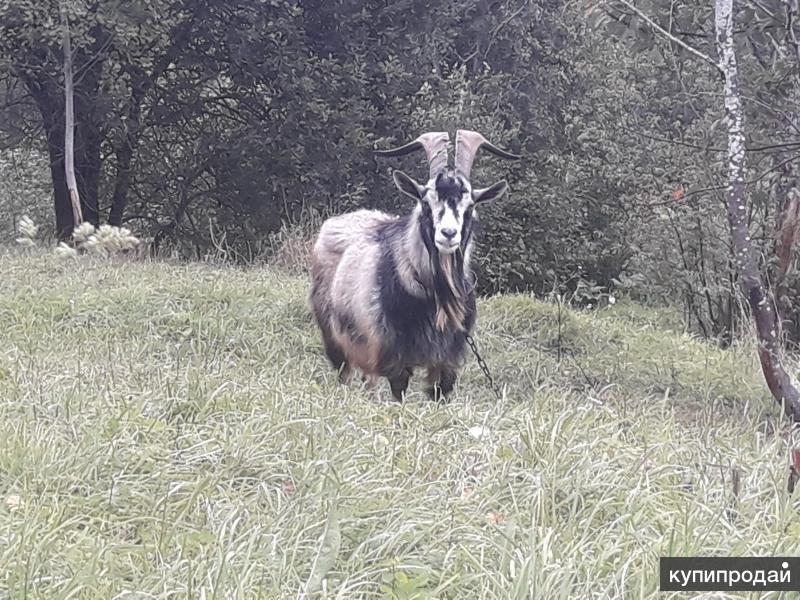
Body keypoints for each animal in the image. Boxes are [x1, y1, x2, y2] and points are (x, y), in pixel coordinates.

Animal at [306, 129, 520, 400]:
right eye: (426, 202)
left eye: (470, 205)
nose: (448, 234)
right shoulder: (393, 358)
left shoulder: (447, 363)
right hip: (338, 337)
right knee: (349, 373)